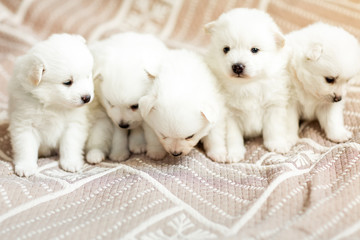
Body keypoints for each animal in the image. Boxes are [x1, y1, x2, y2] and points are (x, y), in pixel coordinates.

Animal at [8, 33, 94, 176]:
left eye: (87, 76)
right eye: (67, 82)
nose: (87, 98)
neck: (53, 105)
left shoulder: (73, 124)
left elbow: (70, 144)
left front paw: (71, 162)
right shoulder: (25, 124)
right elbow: (26, 147)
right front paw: (26, 166)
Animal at [86, 31, 167, 163]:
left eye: (135, 106)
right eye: (110, 103)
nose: (123, 124)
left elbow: (150, 131)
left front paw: (156, 152)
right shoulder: (113, 117)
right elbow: (119, 135)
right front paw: (119, 153)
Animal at [204, 8, 294, 161]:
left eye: (254, 50)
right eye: (226, 49)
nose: (237, 66)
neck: (247, 85)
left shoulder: (273, 106)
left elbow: (274, 128)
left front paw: (277, 144)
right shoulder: (230, 115)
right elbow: (233, 137)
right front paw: (234, 153)